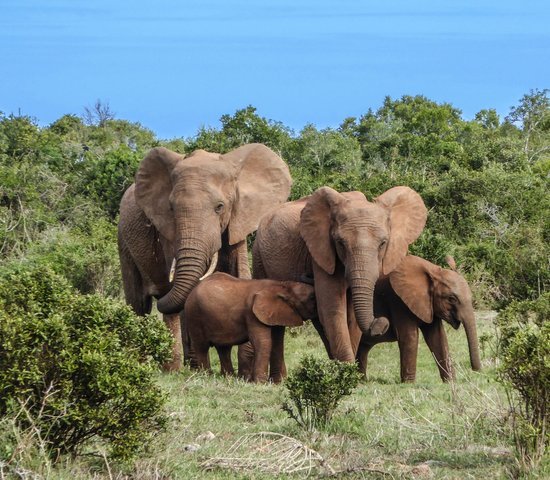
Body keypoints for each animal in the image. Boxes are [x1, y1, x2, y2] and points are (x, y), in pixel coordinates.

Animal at [118, 143, 294, 372]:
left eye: (220, 207)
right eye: (171, 208)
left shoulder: (238, 220)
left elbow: (240, 273)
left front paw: (245, 371)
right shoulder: (168, 231)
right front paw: (199, 367)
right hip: (123, 239)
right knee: (138, 304)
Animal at [184, 274, 316, 382]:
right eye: (312, 297)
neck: (282, 285)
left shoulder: (276, 314)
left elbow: (277, 343)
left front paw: (280, 382)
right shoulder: (252, 313)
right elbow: (263, 342)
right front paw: (260, 383)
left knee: (224, 348)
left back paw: (228, 378)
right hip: (194, 315)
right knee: (202, 347)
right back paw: (206, 376)